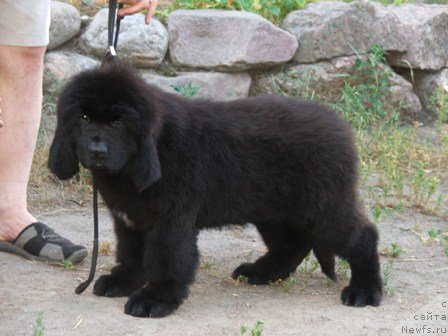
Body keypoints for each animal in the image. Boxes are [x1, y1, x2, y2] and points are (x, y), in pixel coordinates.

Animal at [49, 63, 382, 318]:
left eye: (118, 122)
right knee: (292, 245)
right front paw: (123, 281)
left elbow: (167, 259)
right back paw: (260, 272)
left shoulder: (170, 220)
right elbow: (132, 253)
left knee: (362, 237)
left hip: (323, 207)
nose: (97, 151)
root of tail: (341, 126)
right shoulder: (129, 219)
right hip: (273, 210)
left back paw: (364, 291)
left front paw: (155, 299)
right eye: (83, 118)